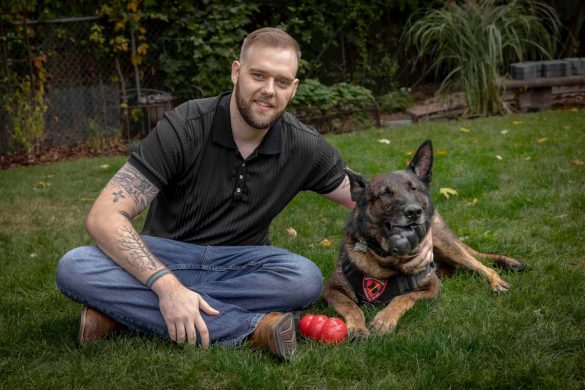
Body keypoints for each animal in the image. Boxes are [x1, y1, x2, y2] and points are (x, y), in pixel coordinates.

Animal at [322, 139, 528, 338]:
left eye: (414, 188)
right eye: (386, 193)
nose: (414, 212)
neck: (388, 262)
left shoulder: (431, 287)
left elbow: (403, 297)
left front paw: (384, 319)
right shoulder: (331, 290)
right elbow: (352, 307)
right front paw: (358, 327)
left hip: (446, 245)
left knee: (482, 266)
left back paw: (496, 282)